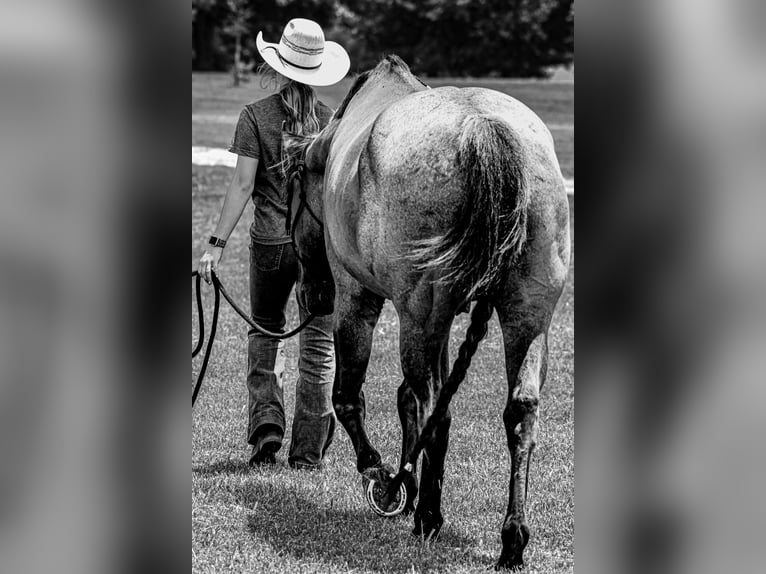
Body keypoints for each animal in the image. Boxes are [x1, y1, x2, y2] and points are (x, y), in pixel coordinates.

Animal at [285, 55, 570, 570]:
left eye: (292, 199)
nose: (314, 298)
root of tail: (484, 128)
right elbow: (407, 401)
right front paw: (408, 482)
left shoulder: (358, 298)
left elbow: (350, 397)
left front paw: (383, 476)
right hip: (526, 315)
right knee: (516, 412)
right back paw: (512, 540)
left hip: (420, 317)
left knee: (433, 405)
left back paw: (428, 518)